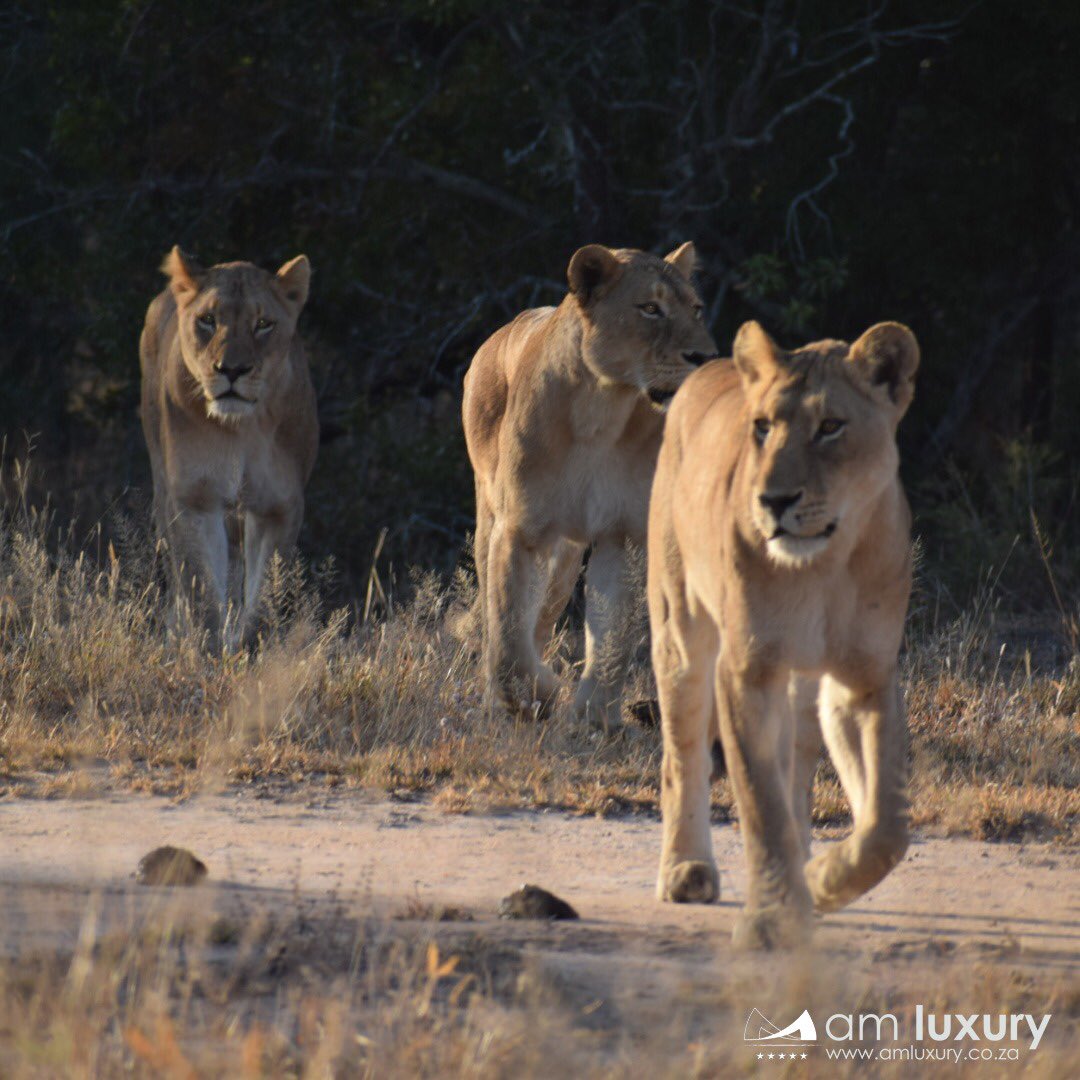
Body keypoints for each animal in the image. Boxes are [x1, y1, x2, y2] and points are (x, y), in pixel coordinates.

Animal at [139, 247, 318, 644]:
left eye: (263, 324)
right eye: (207, 320)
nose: (231, 370)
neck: (241, 430)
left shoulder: (279, 505)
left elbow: (264, 598)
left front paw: (248, 648)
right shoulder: (194, 499)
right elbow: (202, 590)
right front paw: (208, 649)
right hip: (162, 487)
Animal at [463, 242, 718, 727]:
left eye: (696, 309)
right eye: (650, 308)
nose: (705, 358)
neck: (598, 410)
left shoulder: (623, 536)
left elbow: (613, 634)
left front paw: (594, 716)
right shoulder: (518, 529)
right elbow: (507, 627)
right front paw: (533, 693)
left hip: (564, 557)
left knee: (543, 616)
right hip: (494, 520)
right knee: (498, 615)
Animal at [648, 319, 919, 949]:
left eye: (830, 426)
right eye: (763, 427)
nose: (774, 500)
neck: (824, 566)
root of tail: (706, 368)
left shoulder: (863, 679)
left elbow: (885, 827)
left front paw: (822, 881)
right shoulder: (747, 670)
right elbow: (759, 798)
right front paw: (773, 915)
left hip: (805, 683)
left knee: (798, 764)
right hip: (680, 632)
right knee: (683, 757)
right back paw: (686, 870)